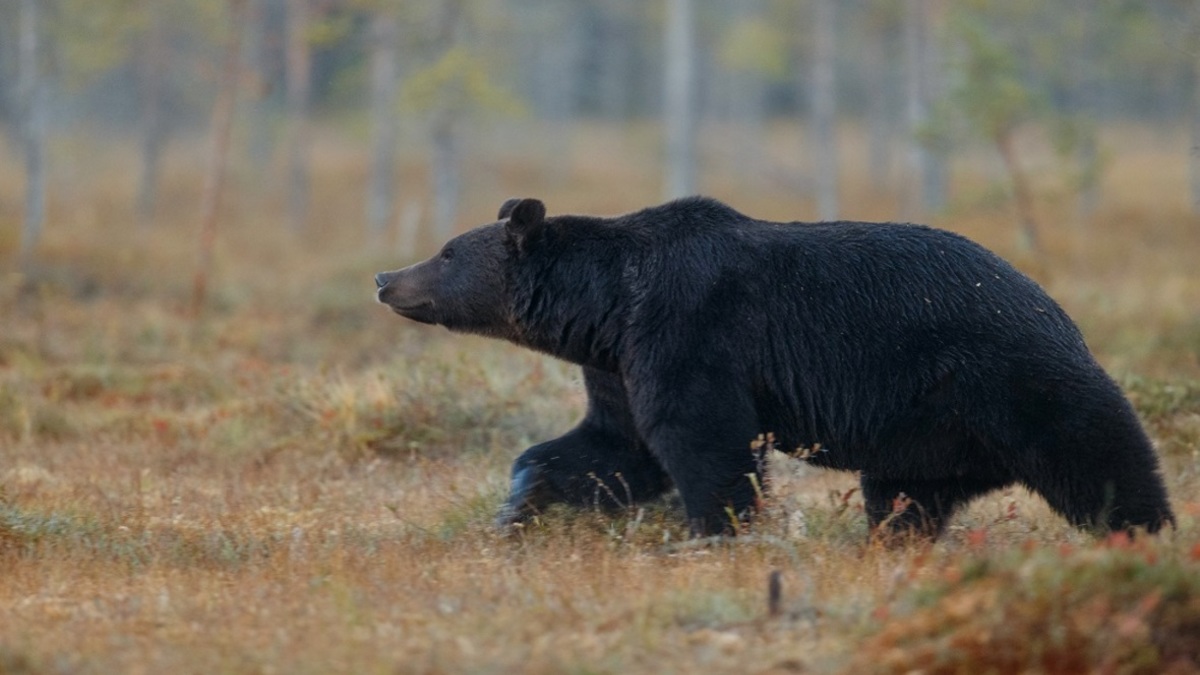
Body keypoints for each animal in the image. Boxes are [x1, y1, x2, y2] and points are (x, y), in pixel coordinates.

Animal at [372, 194, 1171, 535]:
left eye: (446, 251)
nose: (384, 277)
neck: (607, 304)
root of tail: (1057, 307)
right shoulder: (619, 361)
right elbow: (615, 447)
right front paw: (518, 505)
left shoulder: (691, 329)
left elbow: (703, 442)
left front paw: (715, 530)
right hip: (924, 434)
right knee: (904, 498)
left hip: (1005, 375)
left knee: (1099, 453)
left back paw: (1144, 533)